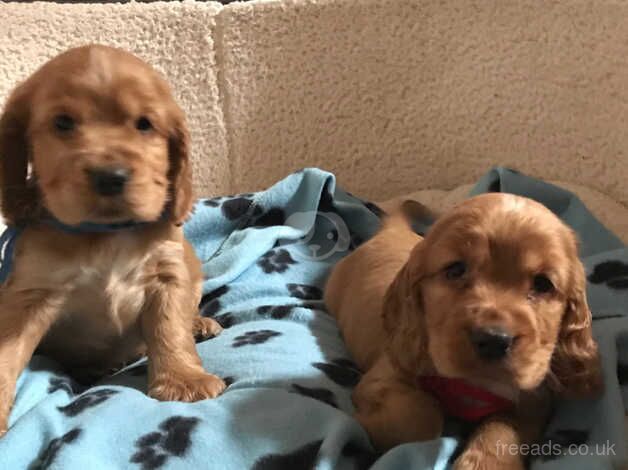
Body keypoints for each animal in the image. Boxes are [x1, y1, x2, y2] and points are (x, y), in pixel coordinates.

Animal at [0, 46, 226, 436]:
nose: (110, 176)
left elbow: (170, 327)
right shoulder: (30, 292)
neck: (105, 233)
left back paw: (199, 324)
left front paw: (184, 380)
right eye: (63, 123)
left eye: (144, 124)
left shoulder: (168, 273)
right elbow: (7, 351)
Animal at [324, 193, 604, 468]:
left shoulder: (532, 401)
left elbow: (504, 431)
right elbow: (421, 415)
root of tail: (392, 229)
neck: (474, 384)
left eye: (543, 284)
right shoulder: (385, 375)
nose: (494, 340)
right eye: (456, 270)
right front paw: (361, 426)